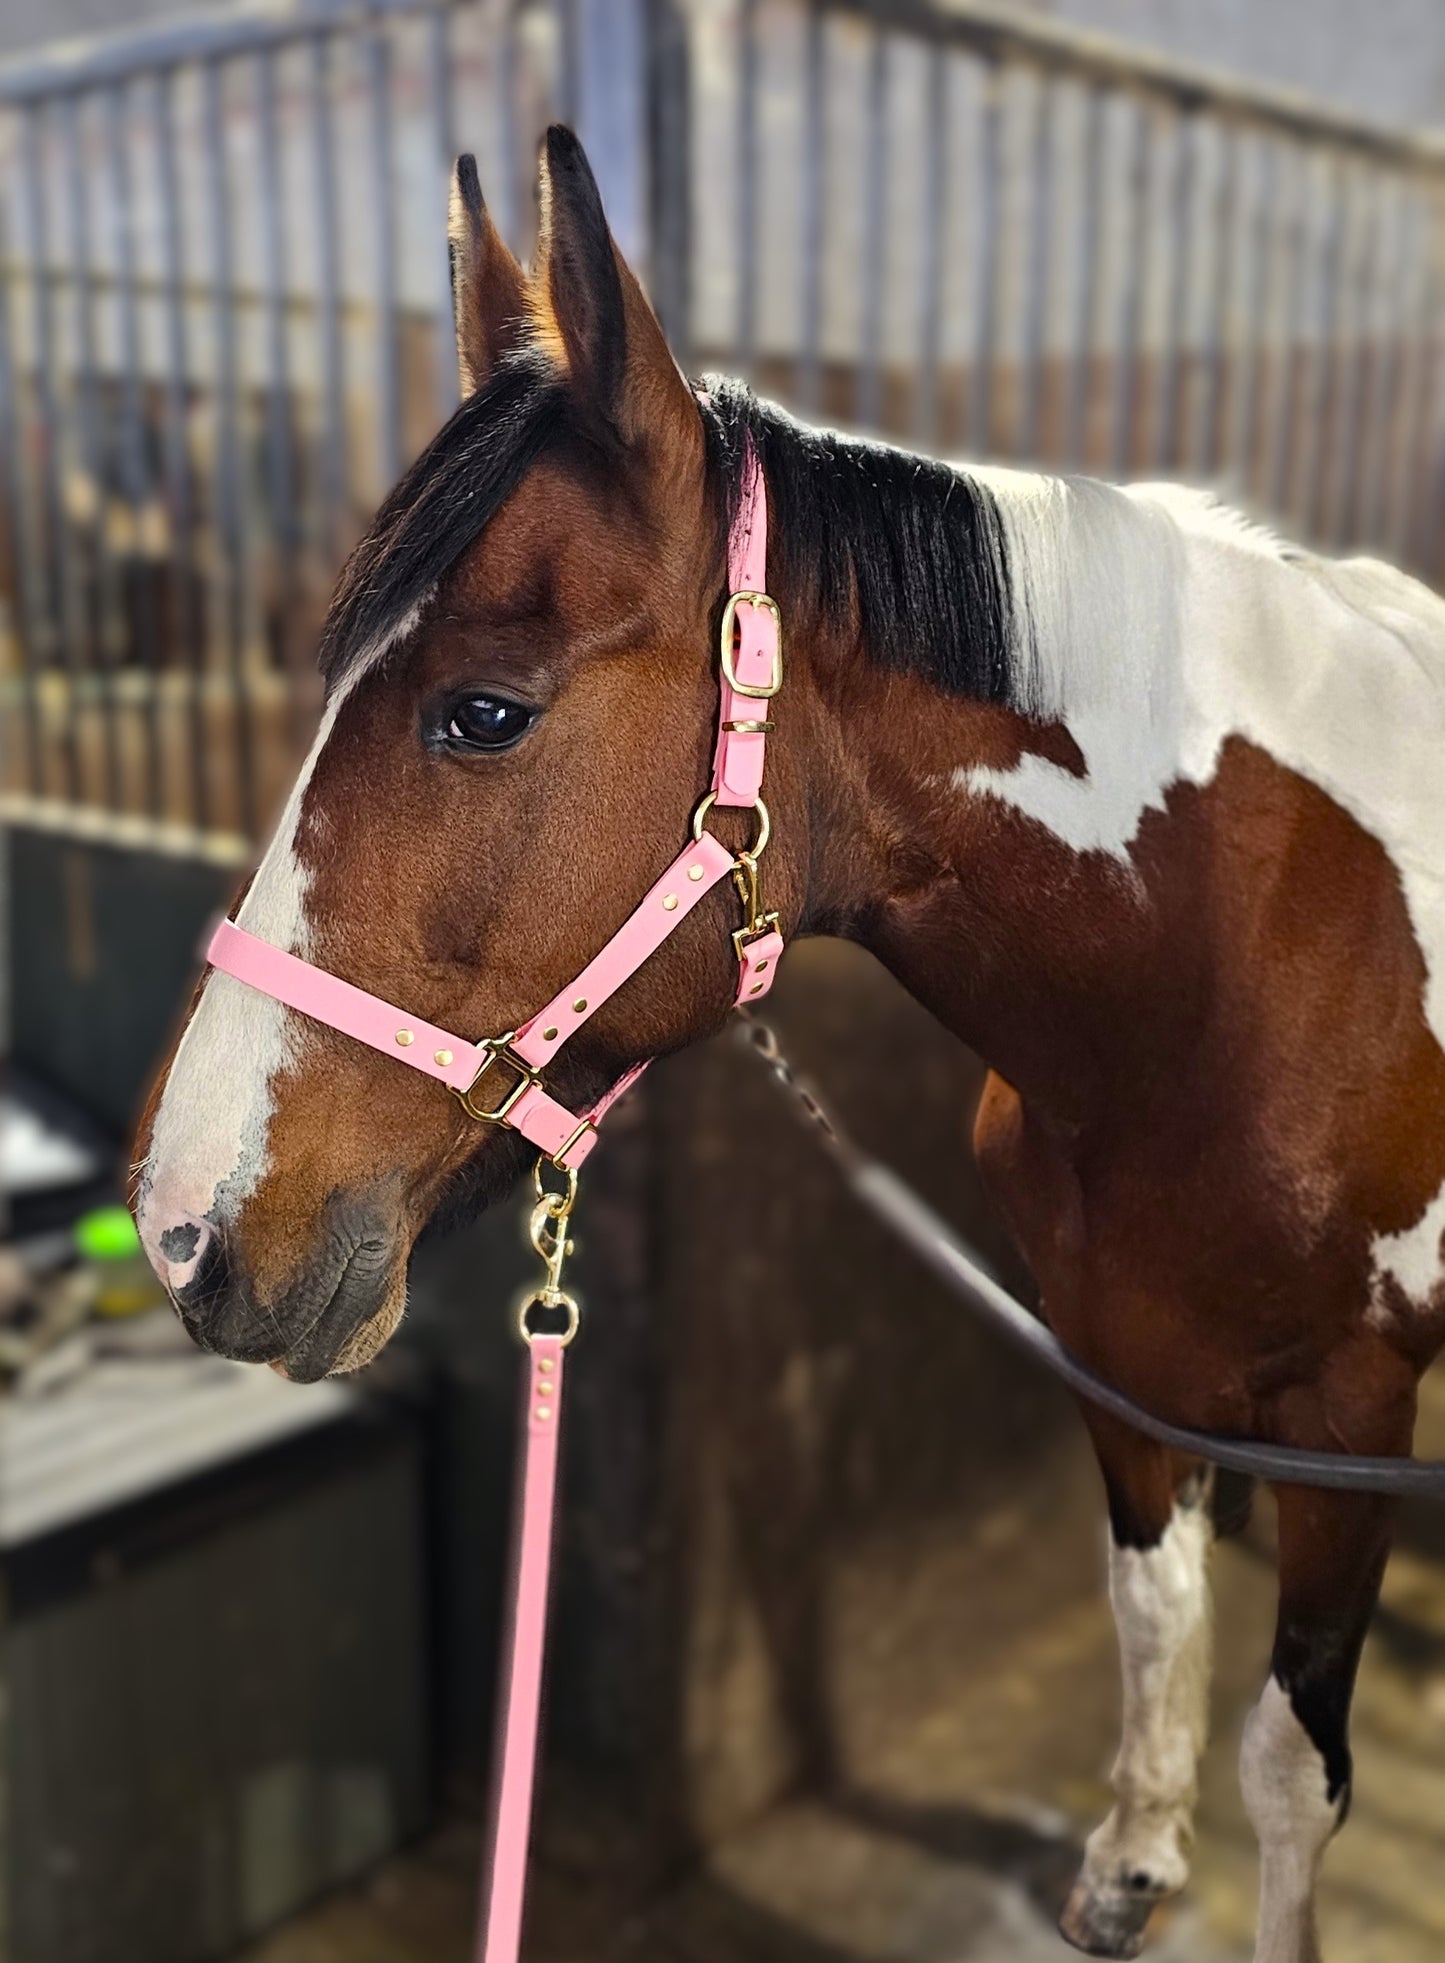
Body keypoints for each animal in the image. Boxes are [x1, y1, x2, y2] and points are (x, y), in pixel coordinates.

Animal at [133, 127, 1445, 1963]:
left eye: (484, 711)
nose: (182, 1224)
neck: (1263, 957)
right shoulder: (1113, 1347)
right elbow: (1153, 1607)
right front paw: (1127, 1860)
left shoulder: (1345, 1408)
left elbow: (1290, 1765)